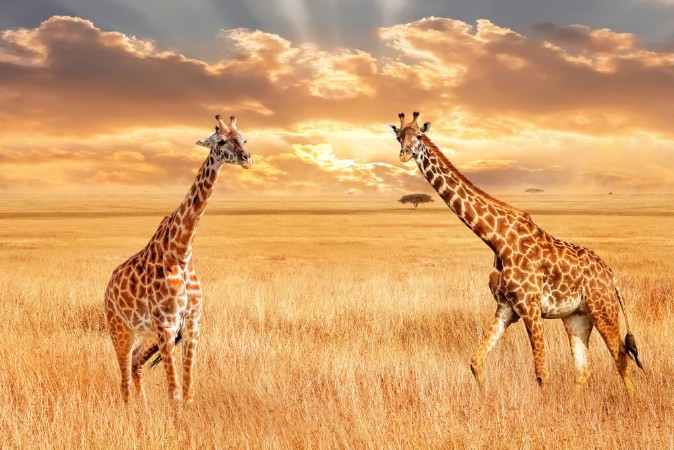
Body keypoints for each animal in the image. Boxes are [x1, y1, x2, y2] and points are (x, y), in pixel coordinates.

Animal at [104, 114, 252, 408]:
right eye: (220, 141)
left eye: (244, 138)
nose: (246, 158)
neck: (181, 251)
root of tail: (107, 288)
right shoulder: (167, 323)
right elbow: (173, 392)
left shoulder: (191, 323)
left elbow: (187, 391)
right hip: (120, 328)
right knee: (123, 378)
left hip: (149, 334)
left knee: (136, 362)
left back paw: (144, 411)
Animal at [389, 112, 643, 397]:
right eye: (399, 136)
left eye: (419, 136)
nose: (404, 154)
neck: (496, 238)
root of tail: (611, 275)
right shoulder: (506, 308)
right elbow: (476, 361)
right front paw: (485, 400)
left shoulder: (530, 306)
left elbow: (542, 373)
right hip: (576, 316)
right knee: (583, 370)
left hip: (603, 308)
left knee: (621, 360)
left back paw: (632, 403)